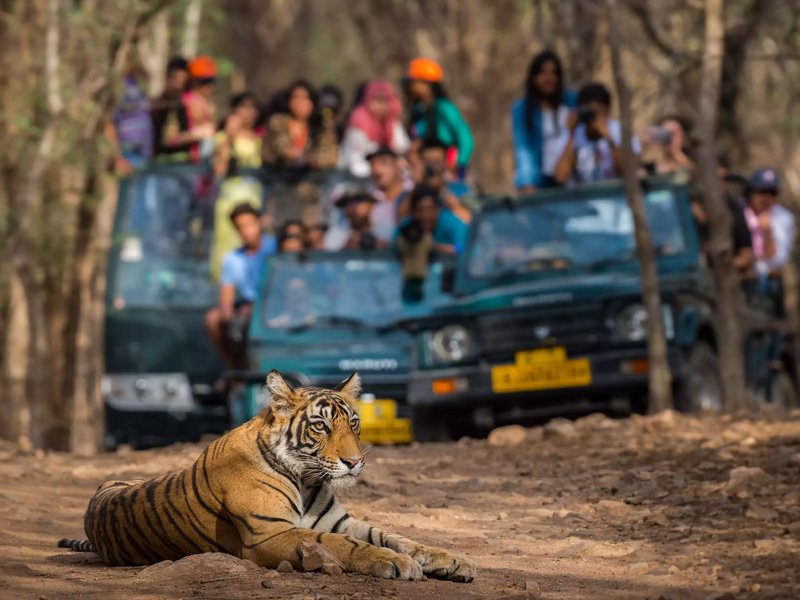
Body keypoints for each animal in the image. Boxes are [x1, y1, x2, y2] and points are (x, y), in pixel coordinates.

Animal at [59, 370, 478, 580]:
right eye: (321, 426)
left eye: (354, 424)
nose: (354, 461)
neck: (307, 478)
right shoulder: (269, 534)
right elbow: (344, 545)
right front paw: (395, 563)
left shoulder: (340, 521)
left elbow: (397, 536)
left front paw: (453, 560)